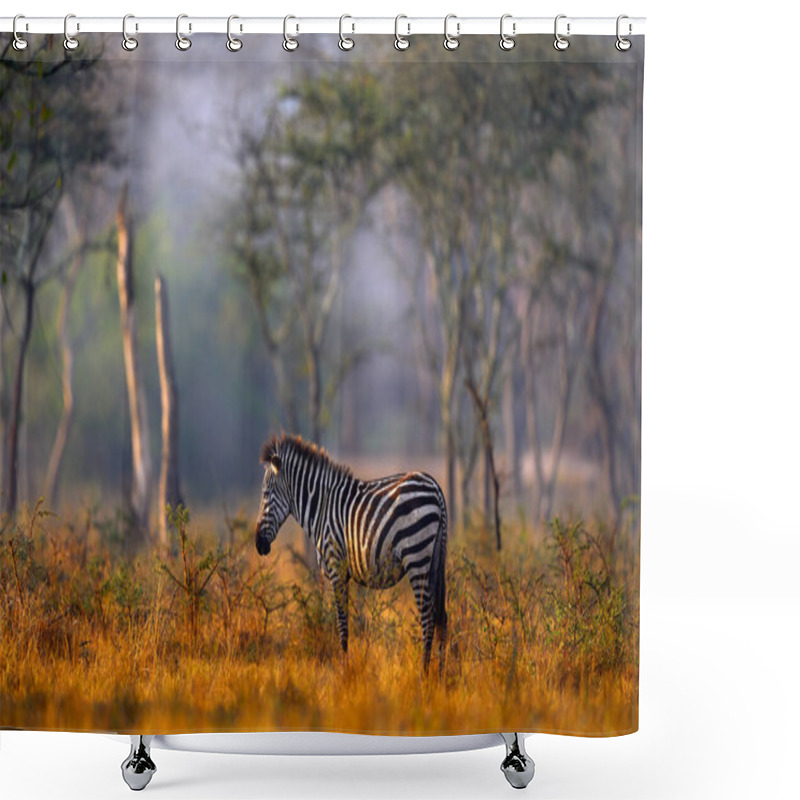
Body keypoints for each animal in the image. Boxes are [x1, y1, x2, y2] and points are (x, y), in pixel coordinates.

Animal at [255, 434, 446, 672]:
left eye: (265, 495)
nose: (258, 544)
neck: (321, 508)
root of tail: (435, 486)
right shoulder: (343, 574)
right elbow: (345, 621)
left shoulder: (335, 567)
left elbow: (342, 623)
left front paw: (344, 670)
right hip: (434, 558)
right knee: (441, 616)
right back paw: (440, 674)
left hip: (416, 556)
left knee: (428, 617)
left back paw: (424, 673)